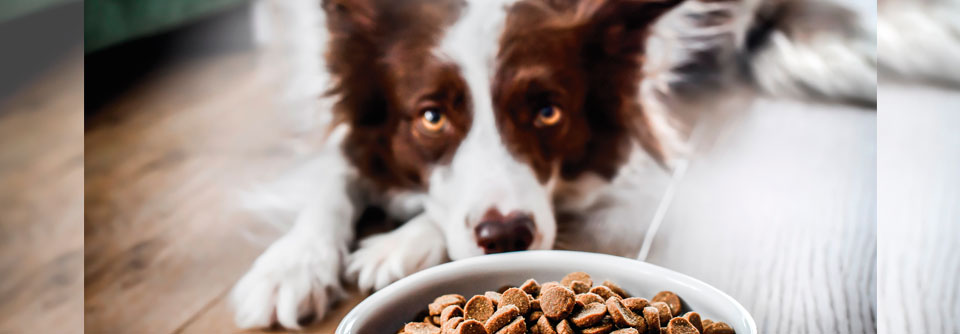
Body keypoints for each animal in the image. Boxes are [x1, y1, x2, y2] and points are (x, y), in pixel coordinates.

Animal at [229, 0, 872, 328]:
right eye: (430, 117)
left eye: (547, 111)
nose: (507, 237)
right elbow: (336, 174)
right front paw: (291, 266)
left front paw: (402, 243)